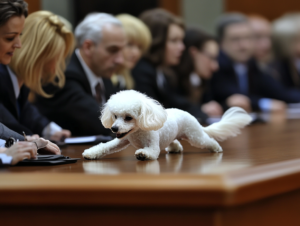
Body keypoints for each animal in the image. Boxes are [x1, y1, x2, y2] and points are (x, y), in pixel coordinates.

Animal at [82, 90, 253, 161]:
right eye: (115, 116)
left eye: (128, 118)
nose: (114, 128)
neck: (137, 132)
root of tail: (190, 115)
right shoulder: (122, 140)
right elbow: (106, 146)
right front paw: (91, 153)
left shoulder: (152, 144)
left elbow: (151, 151)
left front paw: (143, 154)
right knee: (175, 142)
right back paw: (175, 148)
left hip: (195, 136)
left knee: (207, 140)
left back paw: (216, 148)